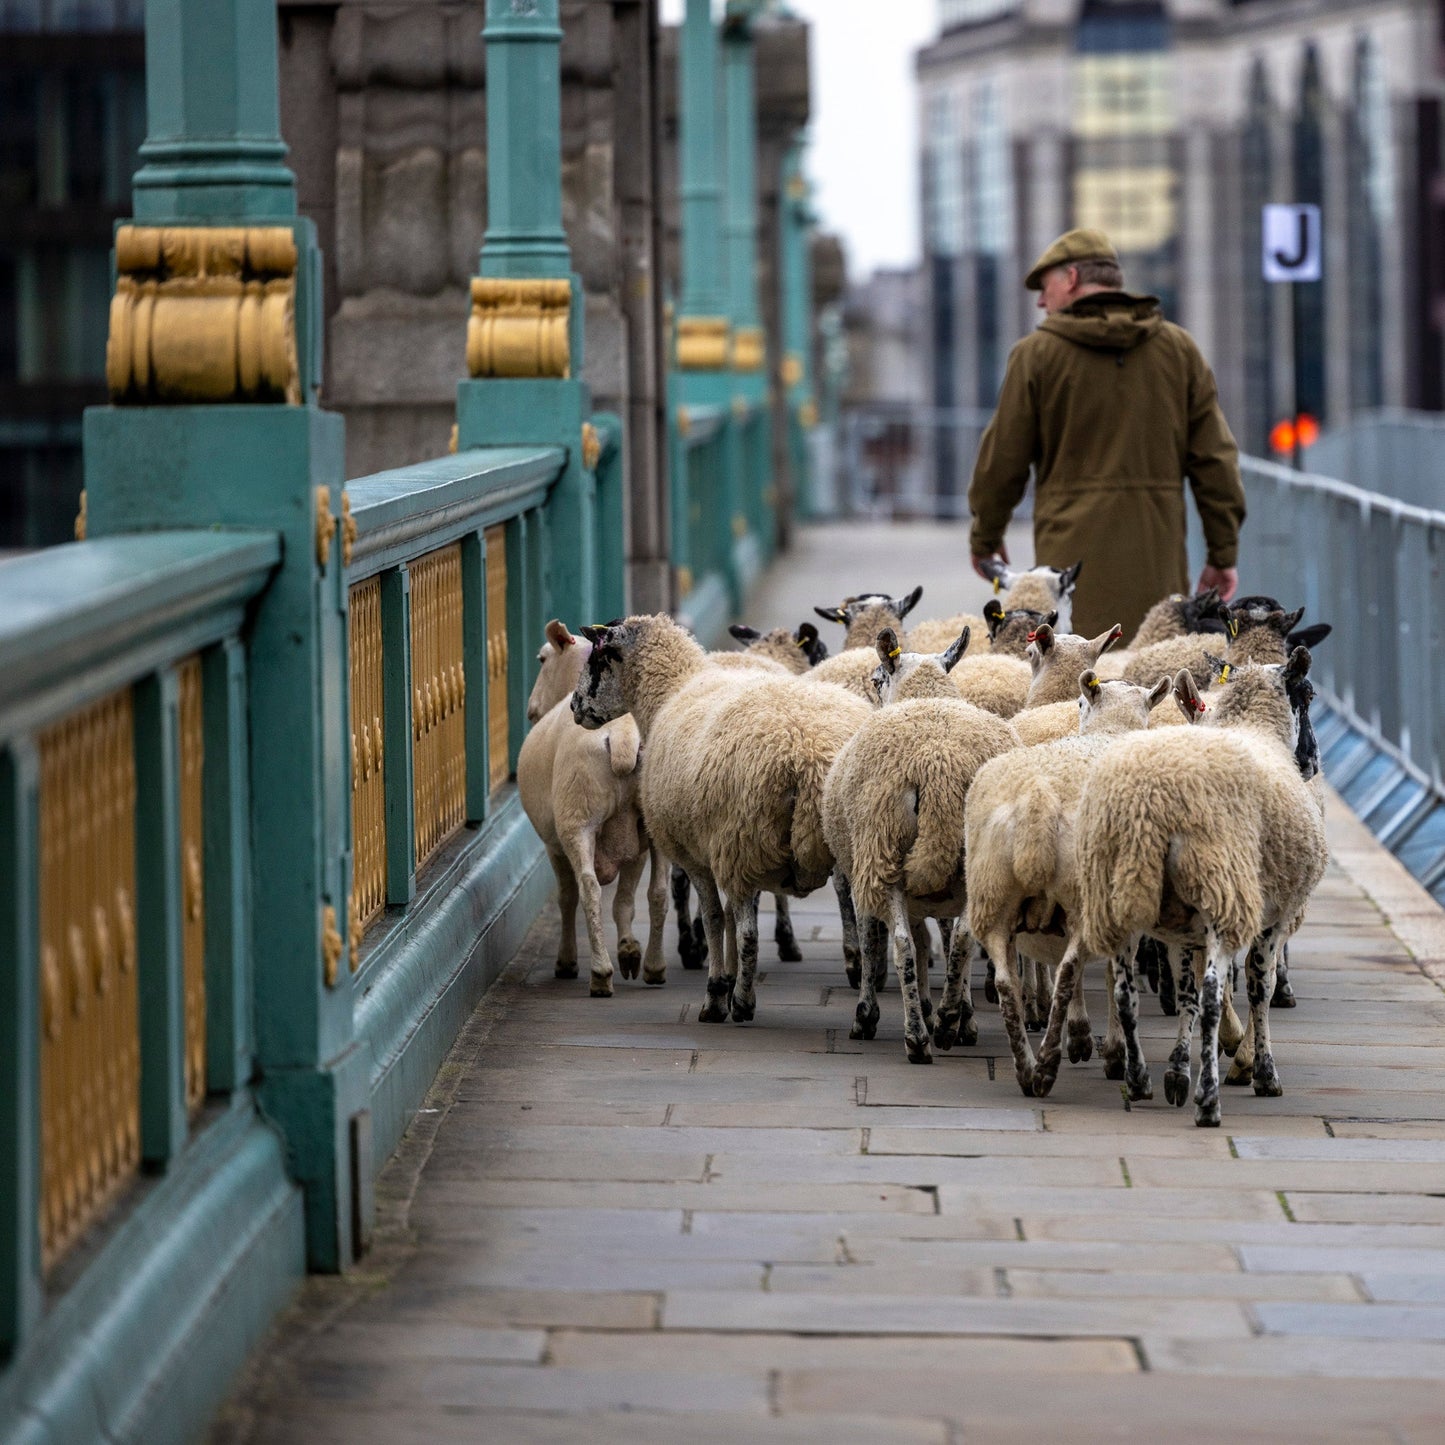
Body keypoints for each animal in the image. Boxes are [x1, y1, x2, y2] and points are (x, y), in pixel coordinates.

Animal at [517, 621, 668, 996]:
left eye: (542, 659)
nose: (530, 709)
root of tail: (623, 737)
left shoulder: (553, 845)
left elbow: (567, 897)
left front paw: (567, 961)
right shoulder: (635, 846)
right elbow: (624, 902)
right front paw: (628, 949)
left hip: (577, 819)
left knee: (588, 890)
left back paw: (600, 974)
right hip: (654, 823)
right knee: (657, 893)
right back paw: (653, 966)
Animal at [572, 615, 872, 1024]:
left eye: (597, 659)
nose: (574, 705)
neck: (671, 689)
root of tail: (806, 754)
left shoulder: (699, 854)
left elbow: (715, 917)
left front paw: (718, 991)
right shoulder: (725, 852)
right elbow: (726, 915)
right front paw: (727, 979)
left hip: (745, 839)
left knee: (749, 934)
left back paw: (742, 1003)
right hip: (845, 841)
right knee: (868, 926)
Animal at [823, 627, 1019, 1063]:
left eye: (877, 680)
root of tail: (938, 765)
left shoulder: (861, 870)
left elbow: (874, 942)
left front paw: (868, 1016)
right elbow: (941, 938)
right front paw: (958, 1018)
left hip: (881, 851)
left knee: (901, 946)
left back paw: (914, 1037)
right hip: (968, 860)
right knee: (962, 938)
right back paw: (944, 1023)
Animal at [965, 668, 1173, 1095]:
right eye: (1079, 703)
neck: (1110, 731)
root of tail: (1038, 800)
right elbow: (1115, 979)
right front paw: (1111, 1051)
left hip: (992, 894)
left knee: (1009, 982)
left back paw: (1027, 1068)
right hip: (1083, 897)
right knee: (1067, 971)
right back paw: (1047, 1064)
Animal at [1074, 647, 1327, 1126]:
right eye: (1306, 695)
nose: (1312, 762)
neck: (1255, 727)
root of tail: (1152, 804)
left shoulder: (1183, 928)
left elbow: (1187, 990)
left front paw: (1178, 1069)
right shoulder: (1276, 913)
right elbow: (1258, 985)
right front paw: (1262, 1072)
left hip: (1122, 890)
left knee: (1126, 991)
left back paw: (1140, 1078)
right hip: (1220, 889)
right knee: (1211, 993)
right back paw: (1208, 1101)